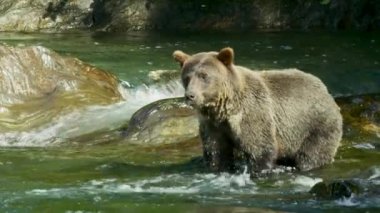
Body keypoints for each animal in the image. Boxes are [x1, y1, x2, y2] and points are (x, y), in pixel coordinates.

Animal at [174, 47, 342, 175]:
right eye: (187, 77)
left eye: (204, 76)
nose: (190, 95)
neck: (225, 108)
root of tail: (324, 88)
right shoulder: (213, 124)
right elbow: (216, 150)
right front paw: (217, 167)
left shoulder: (252, 113)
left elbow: (260, 147)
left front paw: (259, 170)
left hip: (314, 125)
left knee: (312, 155)